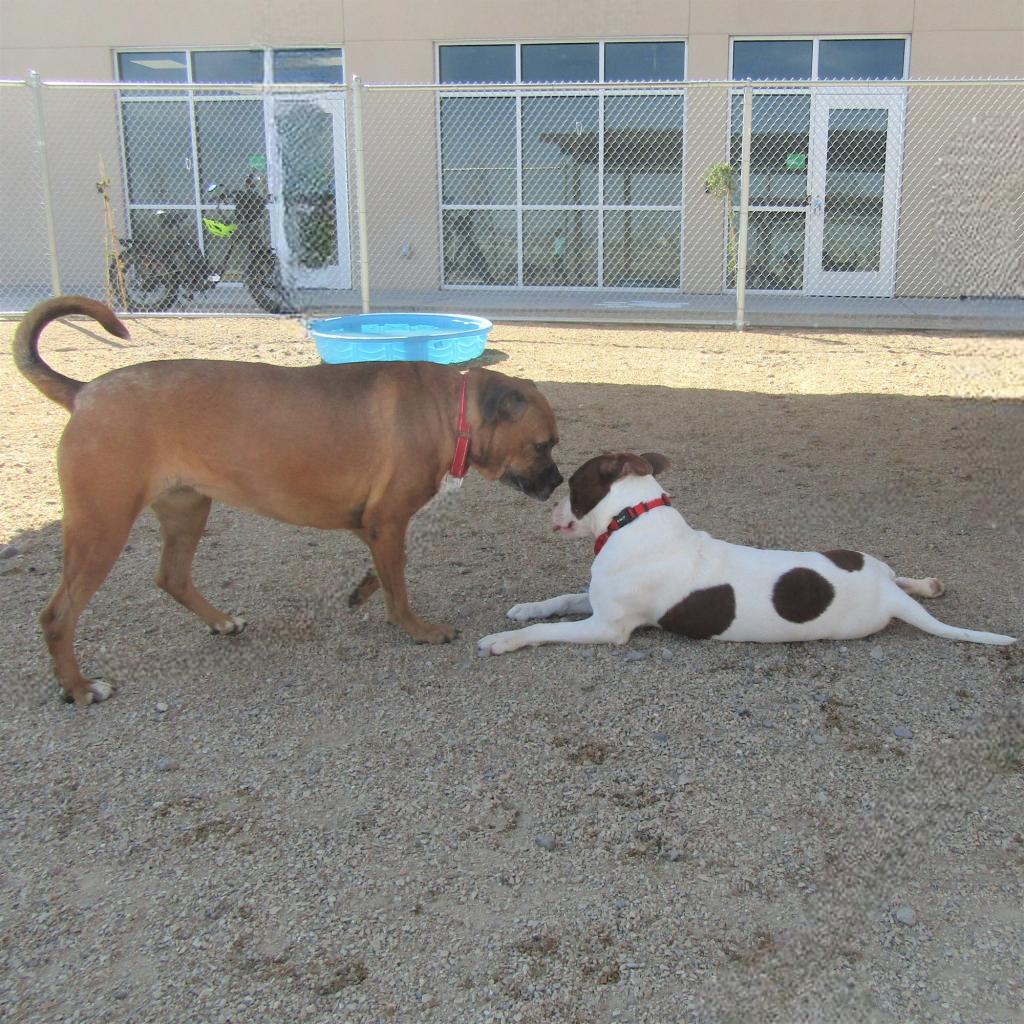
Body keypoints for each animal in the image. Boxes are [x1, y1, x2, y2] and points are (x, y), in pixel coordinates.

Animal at [14, 296, 561, 704]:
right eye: (543, 446)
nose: (558, 483)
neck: (451, 411)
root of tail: (85, 392)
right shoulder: (387, 522)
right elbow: (400, 590)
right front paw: (418, 630)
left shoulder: (376, 527)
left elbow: (384, 574)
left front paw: (364, 591)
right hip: (102, 527)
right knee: (58, 616)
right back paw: (80, 688)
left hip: (187, 510)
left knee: (171, 577)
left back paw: (221, 621)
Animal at [477, 454, 1015, 655]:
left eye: (572, 486)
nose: (549, 504)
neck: (634, 518)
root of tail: (885, 594)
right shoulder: (597, 599)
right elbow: (559, 601)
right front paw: (523, 609)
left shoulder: (608, 627)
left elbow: (547, 630)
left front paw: (502, 641)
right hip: (862, 557)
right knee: (902, 575)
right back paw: (928, 585)